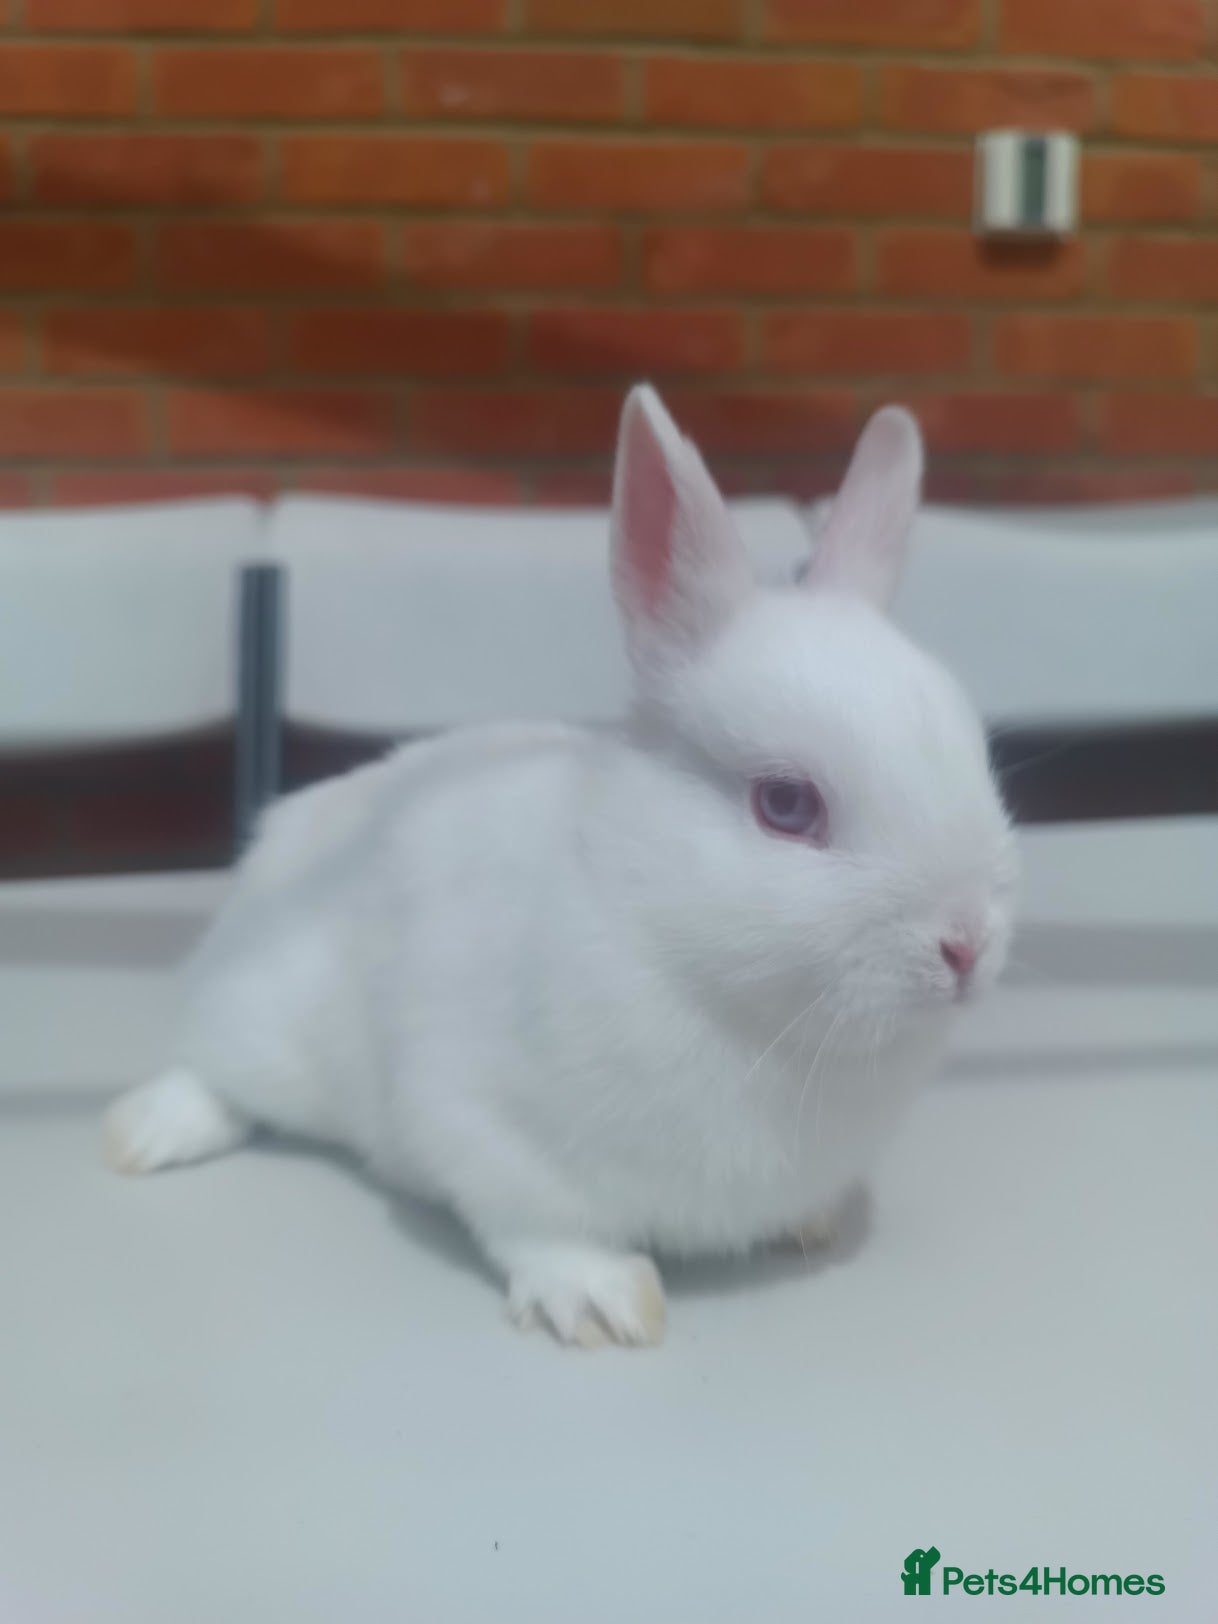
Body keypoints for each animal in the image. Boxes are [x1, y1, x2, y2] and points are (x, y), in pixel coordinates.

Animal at [103, 385, 1017, 1350]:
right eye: (786, 805)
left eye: (977, 754)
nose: (967, 946)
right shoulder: (481, 1125)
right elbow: (538, 1227)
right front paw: (605, 1305)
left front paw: (814, 1220)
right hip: (257, 1020)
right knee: (210, 1065)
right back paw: (144, 1134)